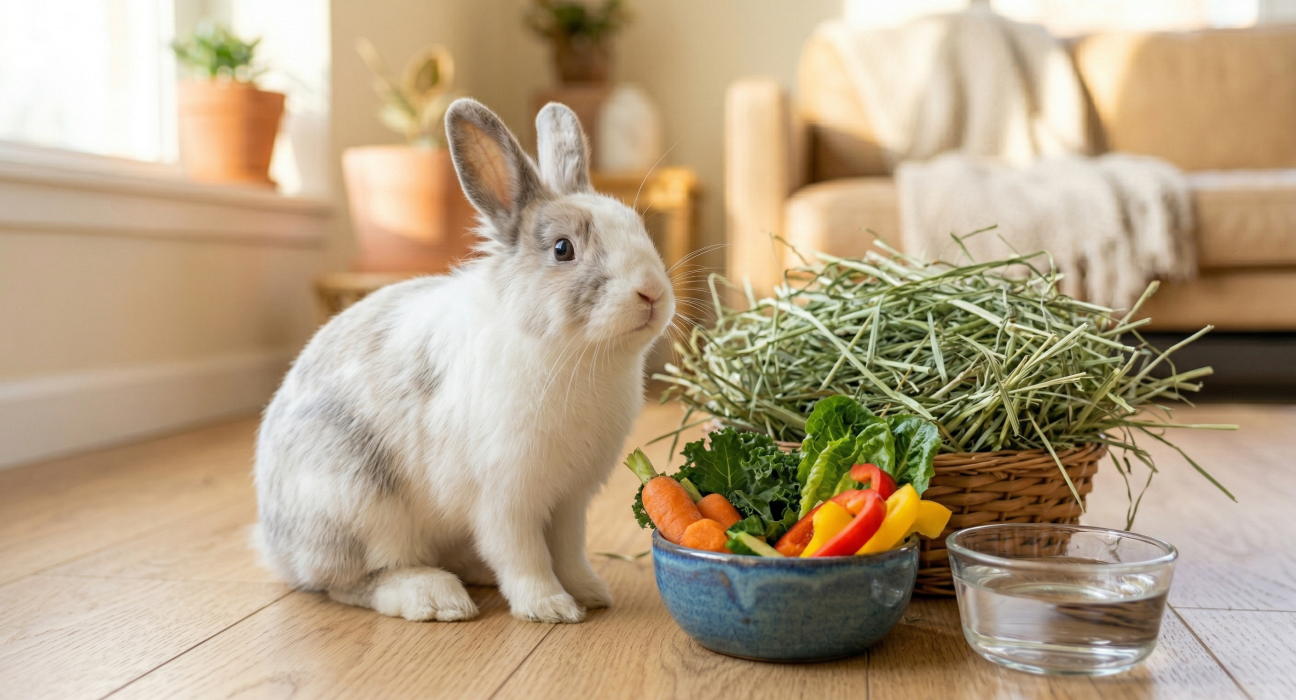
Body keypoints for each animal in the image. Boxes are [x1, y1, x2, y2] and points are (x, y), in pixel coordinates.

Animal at [252, 98, 674, 624]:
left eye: (638, 228)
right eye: (563, 249)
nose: (652, 293)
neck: (570, 352)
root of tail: (274, 544)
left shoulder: (570, 500)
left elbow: (568, 551)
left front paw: (591, 592)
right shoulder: (506, 498)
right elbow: (524, 555)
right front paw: (550, 608)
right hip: (355, 505)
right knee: (350, 583)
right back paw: (435, 596)